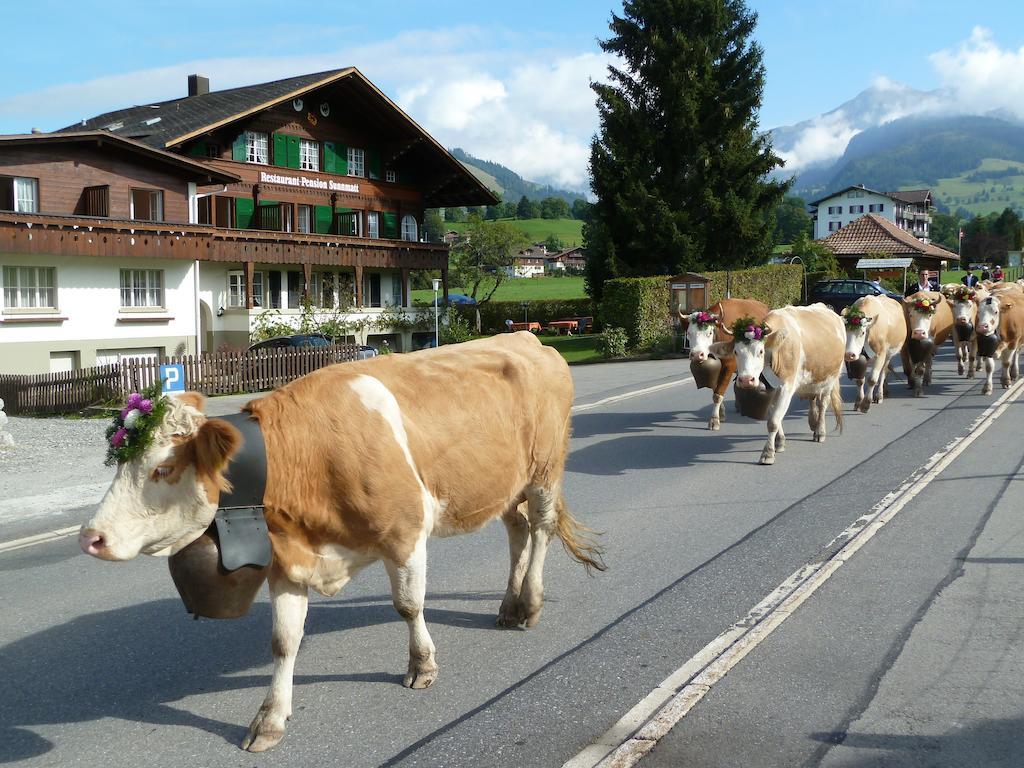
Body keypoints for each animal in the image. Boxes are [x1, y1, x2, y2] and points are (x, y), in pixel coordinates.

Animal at [83, 335, 606, 753]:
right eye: (119, 464)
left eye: (163, 468)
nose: (91, 537)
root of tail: (529, 340)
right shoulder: (287, 560)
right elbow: (284, 640)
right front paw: (270, 720)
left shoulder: (405, 533)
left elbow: (409, 605)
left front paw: (422, 666)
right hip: (501, 485)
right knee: (517, 531)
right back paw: (508, 606)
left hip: (544, 472)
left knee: (540, 530)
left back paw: (529, 605)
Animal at [679, 296, 770, 430]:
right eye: (689, 334)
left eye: (709, 333)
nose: (696, 355)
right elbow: (715, 389)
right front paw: (721, 414)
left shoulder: (729, 365)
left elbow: (718, 393)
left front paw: (714, 420)